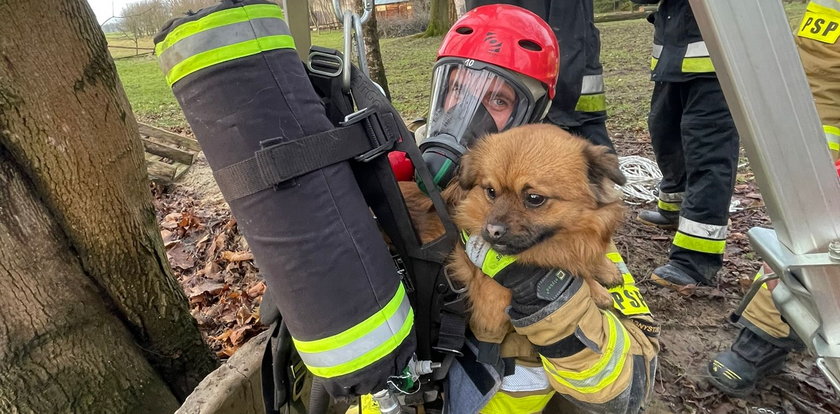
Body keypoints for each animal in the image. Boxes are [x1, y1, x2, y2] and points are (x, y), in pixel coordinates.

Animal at [398, 123, 624, 342]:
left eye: (534, 198)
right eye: (491, 191)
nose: (491, 231)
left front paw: (602, 267)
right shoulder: (493, 308)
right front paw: (595, 287)